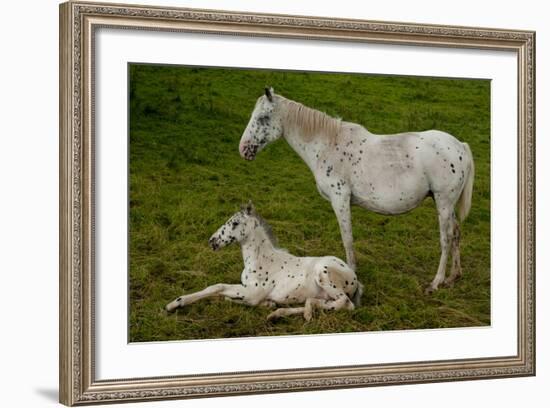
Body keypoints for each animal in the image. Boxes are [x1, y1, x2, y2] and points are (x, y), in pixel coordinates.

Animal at [166, 202, 364, 320]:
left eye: (235, 223)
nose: (212, 241)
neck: (261, 260)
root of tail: (354, 278)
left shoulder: (252, 292)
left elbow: (219, 288)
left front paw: (174, 304)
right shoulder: (247, 290)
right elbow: (220, 292)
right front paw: (268, 304)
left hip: (324, 274)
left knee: (345, 303)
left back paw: (305, 312)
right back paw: (278, 312)